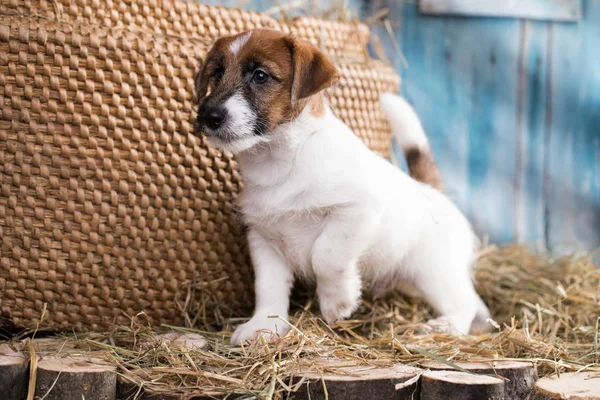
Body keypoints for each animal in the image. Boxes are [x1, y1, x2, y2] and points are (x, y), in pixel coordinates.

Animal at [195, 28, 490, 344]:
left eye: (260, 76)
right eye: (216, 73)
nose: (209, 117)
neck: (279, 161)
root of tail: (433, 192)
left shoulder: (356, 211)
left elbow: (326, 255)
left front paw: (337, 301)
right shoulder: (264, 239)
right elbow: (268, 288)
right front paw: (263, 326)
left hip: (434, 272)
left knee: (463, 302)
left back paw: (445, 327)